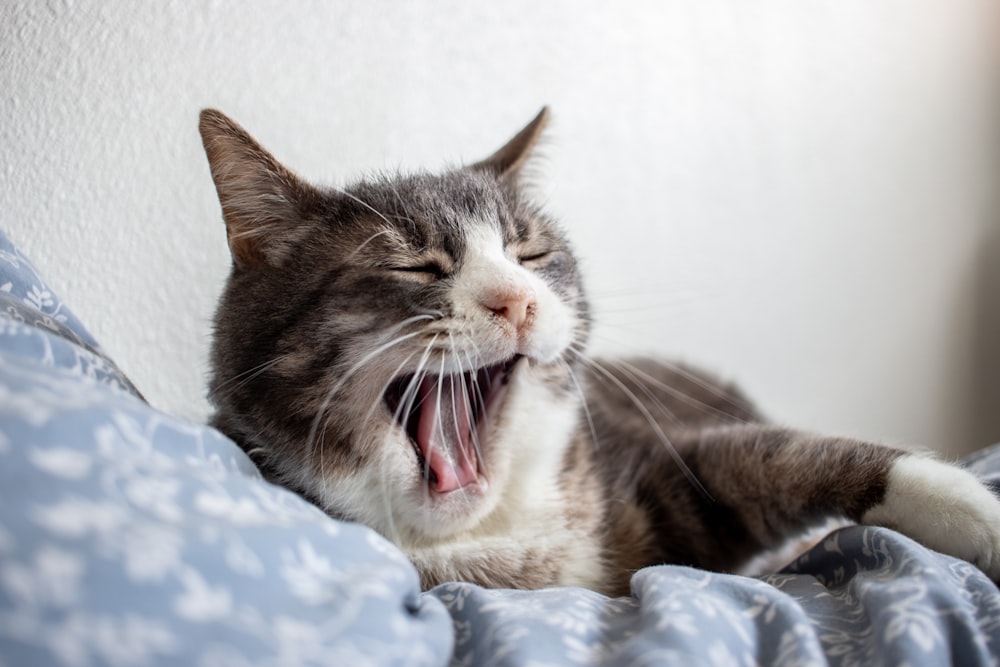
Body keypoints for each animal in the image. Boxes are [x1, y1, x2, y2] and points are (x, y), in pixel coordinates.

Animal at [197, 107, 1000, 596]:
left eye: (530, 253)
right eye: (415, 267)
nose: (516, 300)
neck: (490, 541)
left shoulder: (646, 449)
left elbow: (780, 454)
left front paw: (978, 513)